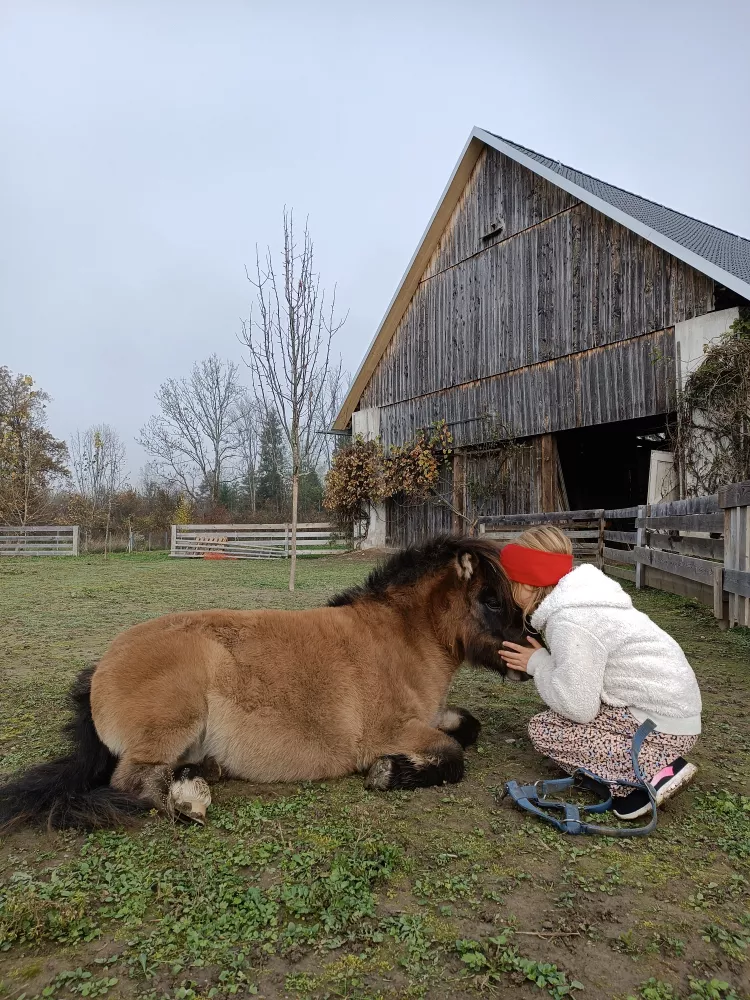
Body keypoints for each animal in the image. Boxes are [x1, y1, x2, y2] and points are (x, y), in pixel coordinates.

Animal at [0, 536, 528, 832]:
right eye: (490, 599)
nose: (527, 655)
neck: (397, 640)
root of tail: (102, 667)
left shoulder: (432, 715)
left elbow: (468, 726)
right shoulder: (390, 731)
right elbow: (453, 756)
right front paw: (387, 773)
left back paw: (200, 775)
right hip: (170, 724)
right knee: (134, 783)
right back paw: (189, 799)